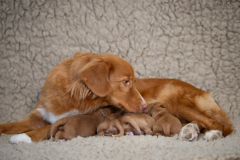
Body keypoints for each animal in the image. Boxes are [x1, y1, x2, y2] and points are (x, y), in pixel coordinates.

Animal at [0, 52, 146, 144]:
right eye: (126, 82)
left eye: (132, 81)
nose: (144, 105)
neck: (70, 95)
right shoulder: (37, 117)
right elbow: (8, 125)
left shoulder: (71, 117)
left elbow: (47, 127)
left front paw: (24, 137)